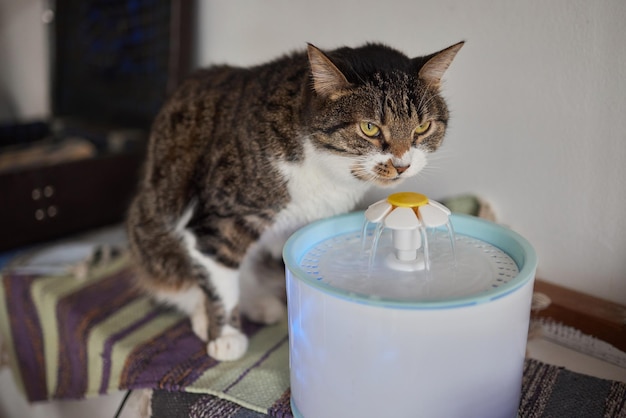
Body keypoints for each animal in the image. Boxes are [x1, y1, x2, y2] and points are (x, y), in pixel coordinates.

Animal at [124, 40, 460, 360]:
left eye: (422, 127)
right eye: (370, 128)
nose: (402, 165)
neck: (323, 167)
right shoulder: (221, 219)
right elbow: (219, 281)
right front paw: (226, 337)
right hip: (154, 240)